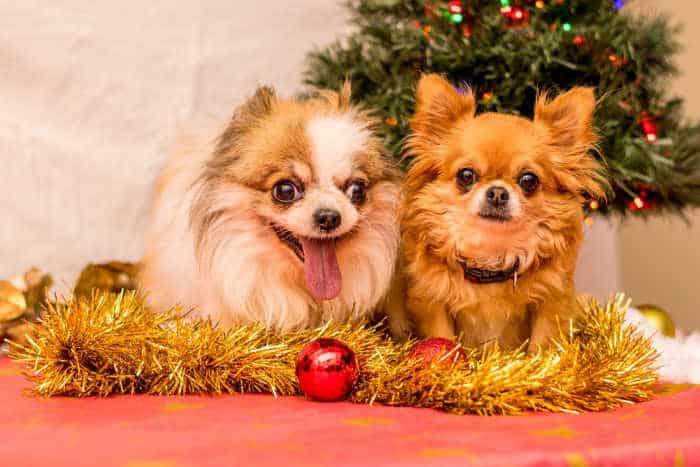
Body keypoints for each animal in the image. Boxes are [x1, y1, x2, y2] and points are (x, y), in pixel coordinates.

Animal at [396, 74, 608, 352]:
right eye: (466, 175)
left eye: (529, 180)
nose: (497, 192)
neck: (492, 255)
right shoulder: (431, 302)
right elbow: (442, 336)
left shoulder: (553, 301)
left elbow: (543, 345)